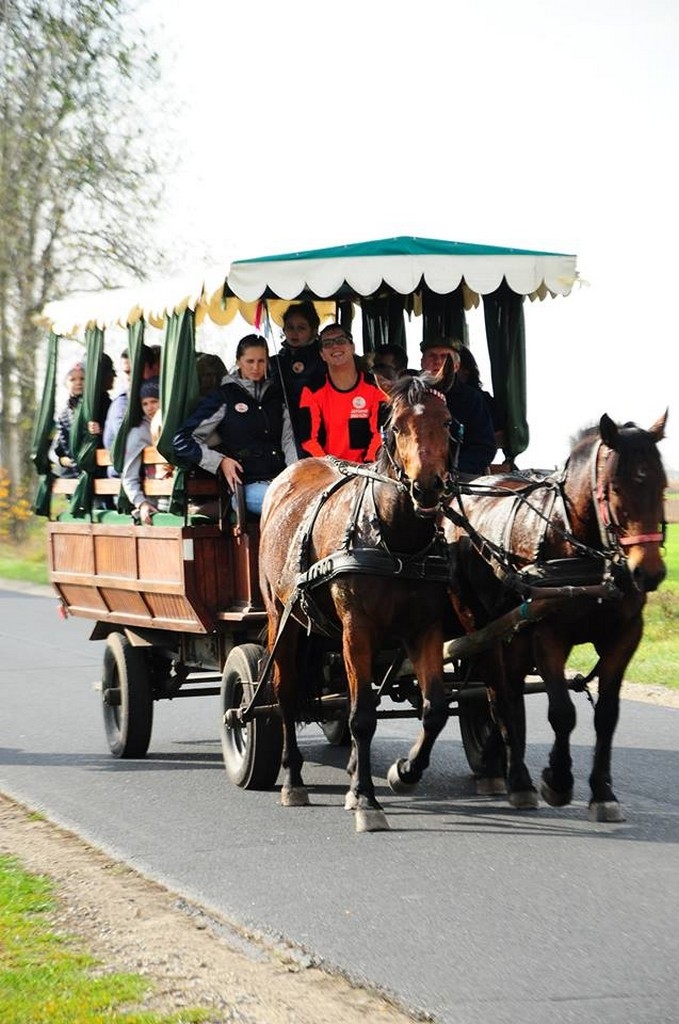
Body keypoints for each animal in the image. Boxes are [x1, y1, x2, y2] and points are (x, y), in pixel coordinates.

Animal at [258, 360, 458, 831]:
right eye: (396, 426)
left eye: (445, 422)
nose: (426, 487)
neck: (396, 539)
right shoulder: (358, 628)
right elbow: (363, 715)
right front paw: (367, 799)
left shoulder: (425, 629)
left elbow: (434, 708)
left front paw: (404, 772)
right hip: (281, 618)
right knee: (285, 694)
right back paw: (293, 779)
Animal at [444, 411, 667, 819]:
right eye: (615, 488)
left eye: (662, 485)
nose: (649, 572)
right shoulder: (547, 634)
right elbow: (562, 712)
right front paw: (558, 781)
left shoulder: (625, 635)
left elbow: (606, 715)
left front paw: (602, 792)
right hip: (479, 626)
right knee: (499, 696)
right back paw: (518, 780)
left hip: (512, 635)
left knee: (508, 695)